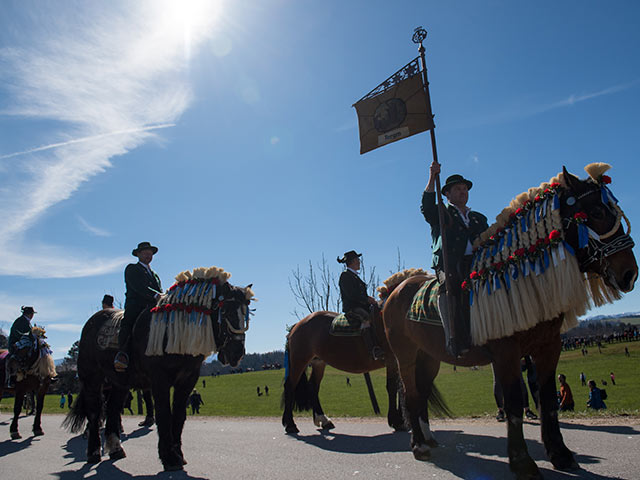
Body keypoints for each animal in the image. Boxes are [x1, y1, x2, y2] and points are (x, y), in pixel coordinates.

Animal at [64, 268, 255, 470]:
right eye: (224, 310)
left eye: (246, 314)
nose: (236, 353)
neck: (174, 332)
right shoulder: (159, 380)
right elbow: (163, 414)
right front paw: (169, 457)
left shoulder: (187, 380)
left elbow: (178, 415)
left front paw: (178, 453)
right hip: (92, 378)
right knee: (94, 412)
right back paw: (93, 453)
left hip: (120, 383)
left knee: (113, 410)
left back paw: (116, 449)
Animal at [280, 304, 404, 436]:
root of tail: (297, 325)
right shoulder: (393, 361)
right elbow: (393, 388)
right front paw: (396, 421)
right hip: (299, 361)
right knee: (290, 386)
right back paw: (290, 424)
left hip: (318, 363)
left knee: (313, 387)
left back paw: (323, 420)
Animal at [382, 163, 636, 478]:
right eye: (598, 212)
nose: (630, 273)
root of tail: (395, 290)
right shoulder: (507, 353)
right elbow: (514, 403)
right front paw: (522, 461)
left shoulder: (548, 347)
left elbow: (547, 400)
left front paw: (560, 454)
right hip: (405, 355)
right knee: (411, 393)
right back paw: (418, 445)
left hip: (428, 357)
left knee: (421, 392)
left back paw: (428, 437)